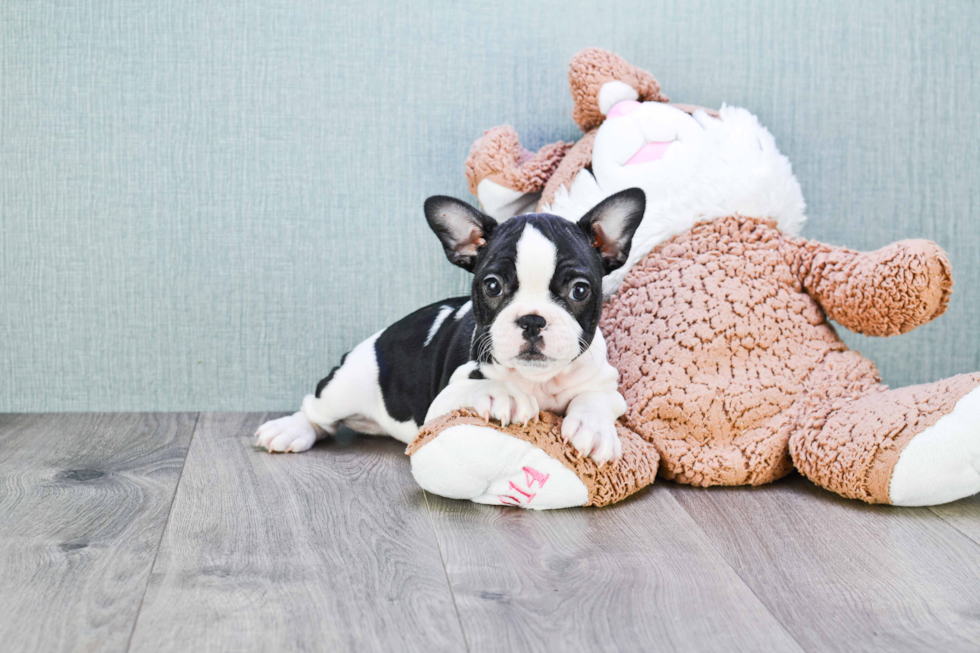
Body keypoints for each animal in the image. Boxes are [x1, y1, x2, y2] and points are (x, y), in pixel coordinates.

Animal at [256, 187, 648, 464]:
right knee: (316, 411)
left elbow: (593, 398)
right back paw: (289, 429)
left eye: (579, 289)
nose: (532, 319)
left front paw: (593, 428)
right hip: (347, 385)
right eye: (493, 286)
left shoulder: (607, 386)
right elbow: (478, 387)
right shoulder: (441, 405)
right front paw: (504, 394)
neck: (537, 380)